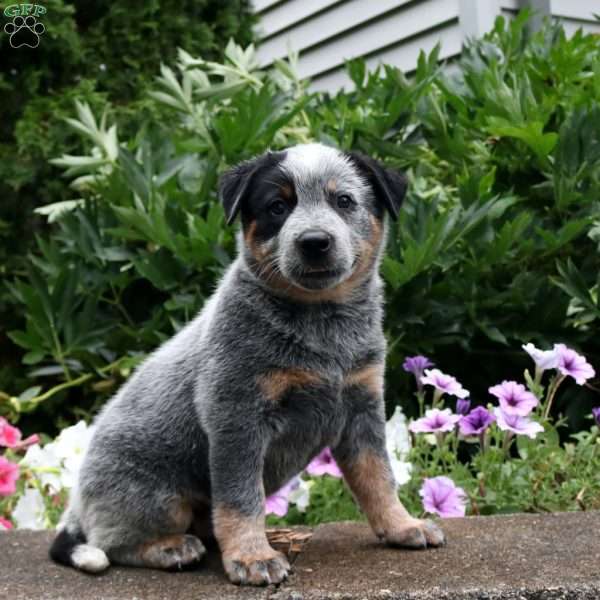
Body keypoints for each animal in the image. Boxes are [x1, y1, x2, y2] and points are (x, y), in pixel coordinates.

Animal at [50, 143, 446, 584]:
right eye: (277, 206)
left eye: (344, 201)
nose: (314, 241)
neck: (321, 325)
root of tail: (75, 509)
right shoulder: (236, 416)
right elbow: (241, 498)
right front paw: (252, 556)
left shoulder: (362, 405)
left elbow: (379, 477)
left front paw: (402, 525)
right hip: (158, 498)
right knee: (111, 542)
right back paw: (171, 548)